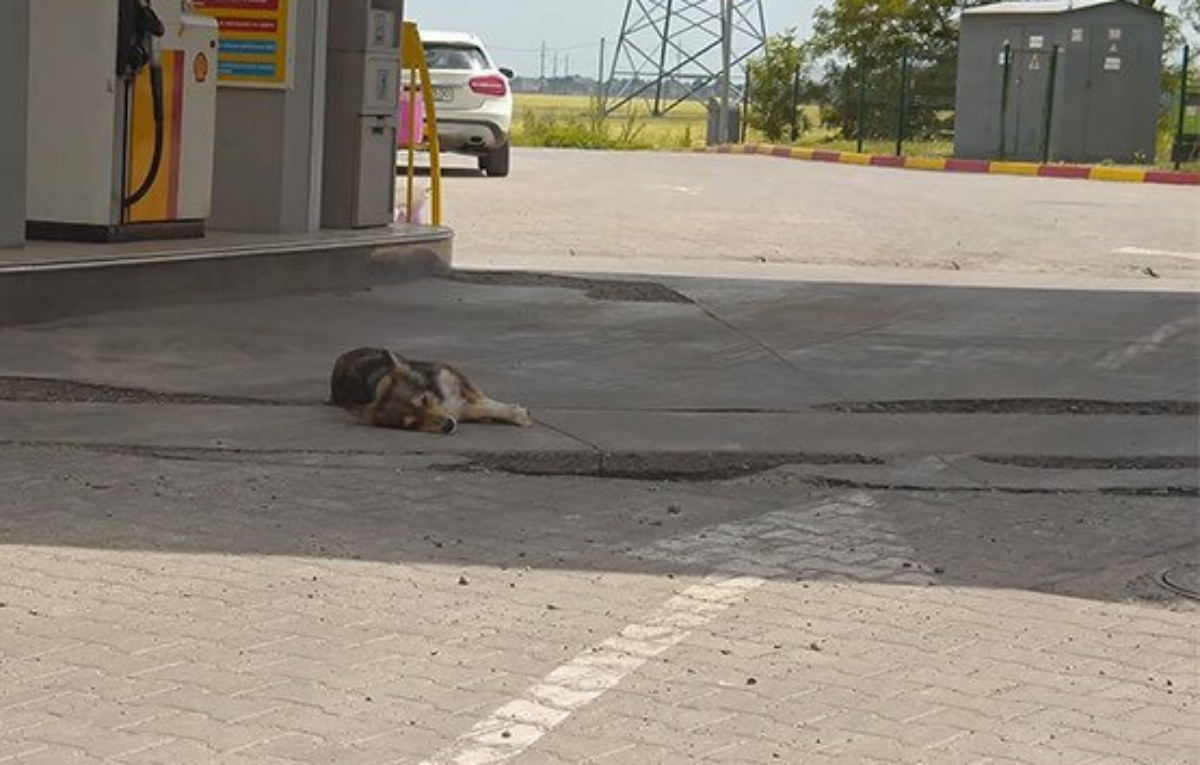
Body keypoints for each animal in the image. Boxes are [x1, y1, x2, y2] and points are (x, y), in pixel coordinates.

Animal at [331, 345, 532, 431]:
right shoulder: (457, 409)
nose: (448, 426)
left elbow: (483, 402)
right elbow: (476, 407)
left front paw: (515, 413)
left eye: (424, 399)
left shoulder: (452, 378)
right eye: (412, 424)